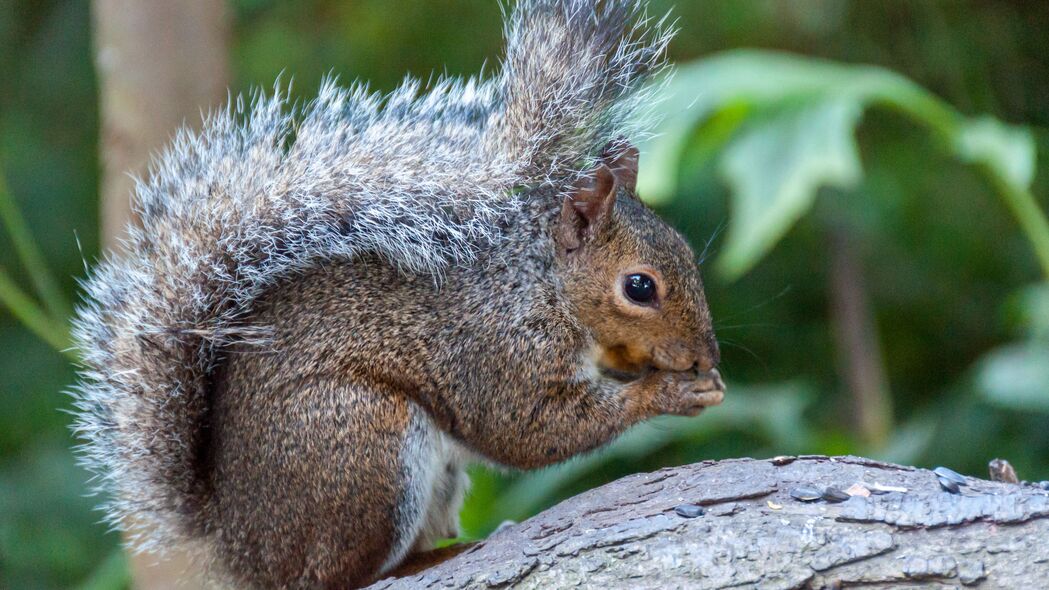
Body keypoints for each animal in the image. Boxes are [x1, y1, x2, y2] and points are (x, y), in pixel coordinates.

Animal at [65, 2, 721, 583]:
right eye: (639, 287)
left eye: (686, 249)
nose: (705, 355)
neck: (541, 284)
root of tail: (239, 546)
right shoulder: (497, 348)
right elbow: (532, 429)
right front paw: (667, 391)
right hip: (362, 445)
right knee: (336, 576)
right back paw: (428, 560)